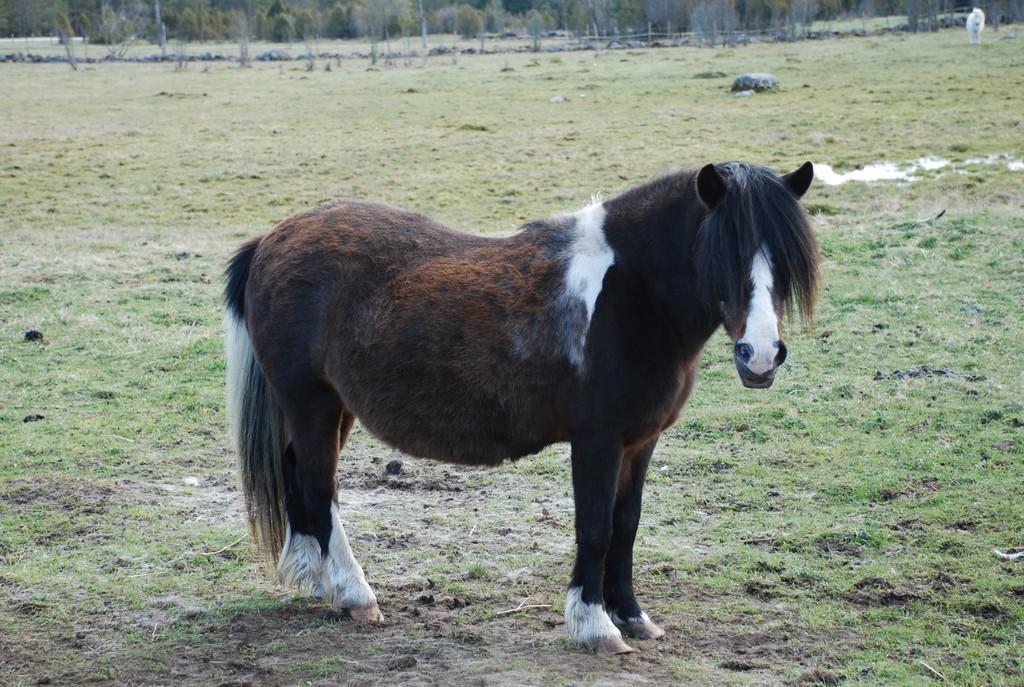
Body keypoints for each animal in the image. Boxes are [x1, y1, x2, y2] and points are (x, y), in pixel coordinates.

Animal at [224, 161, 815, 655]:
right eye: (722, 254)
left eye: (785, 261)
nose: (761, 355)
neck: (630, 294)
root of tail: (270, 240)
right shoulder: (597, 440)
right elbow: (595, 527)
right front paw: (595, 626)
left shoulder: (640, 440)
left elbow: (626, 524)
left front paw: (631, 616)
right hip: (311, 403)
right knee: (319, 489)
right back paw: (354, 595)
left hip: (330, 409)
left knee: (300, 479)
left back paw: (315, 579)